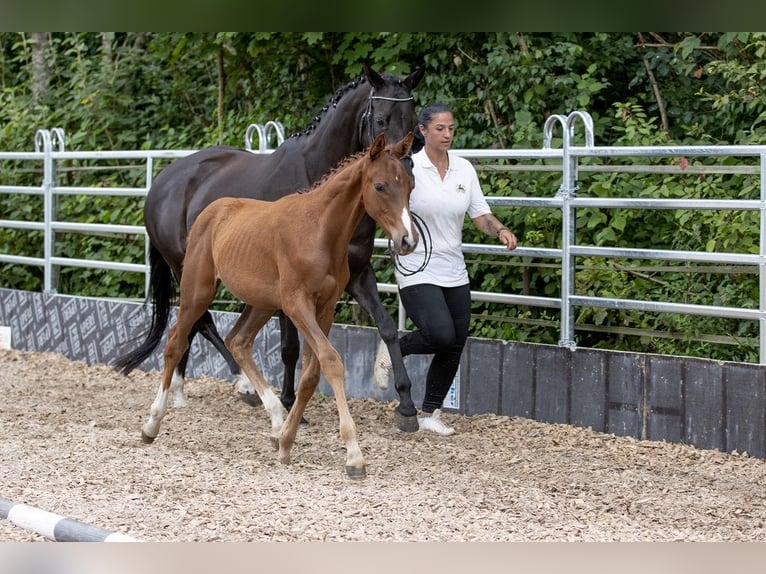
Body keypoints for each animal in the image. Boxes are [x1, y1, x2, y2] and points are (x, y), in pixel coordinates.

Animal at [115, 64, 426, 432]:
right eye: (380, 119)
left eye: (413, 119)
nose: (404, 168)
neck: (314, 175)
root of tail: (161, 183)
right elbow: (290, 346)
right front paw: (290, 403)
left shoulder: (359, 274)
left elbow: (388, 328)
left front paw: (406, 406)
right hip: (187, 269)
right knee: (202, 321)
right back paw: (243, 385)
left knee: (191, 323)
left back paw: (179, 390)